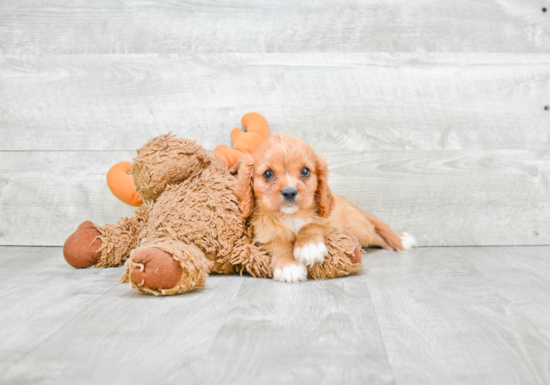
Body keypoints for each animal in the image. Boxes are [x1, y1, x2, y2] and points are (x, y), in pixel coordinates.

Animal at [235, 133, 416, 282]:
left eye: (305, 171)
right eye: (268, 174)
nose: (289, 192)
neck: (292, 216)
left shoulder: (332, 226)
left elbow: (311, 225)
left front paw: (309, 247)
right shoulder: (262, 237)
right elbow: (278, 242)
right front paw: (289, 266)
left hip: (360, 230)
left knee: (378, 236)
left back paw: (401, 239)